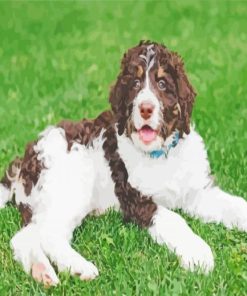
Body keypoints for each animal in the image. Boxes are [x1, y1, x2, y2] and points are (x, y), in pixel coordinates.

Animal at [0, 40, 247, 286]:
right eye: (135, 83)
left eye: (162, 83)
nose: (145, 108)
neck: (161, 154)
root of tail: (25, 159)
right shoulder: (136, 200)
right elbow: (175, 220)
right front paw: (199, 254)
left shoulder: (199, 191)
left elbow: (235, 204)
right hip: (72, 181)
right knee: (49, 234)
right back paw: (78, 267)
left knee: (25, 236)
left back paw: (41, 271)